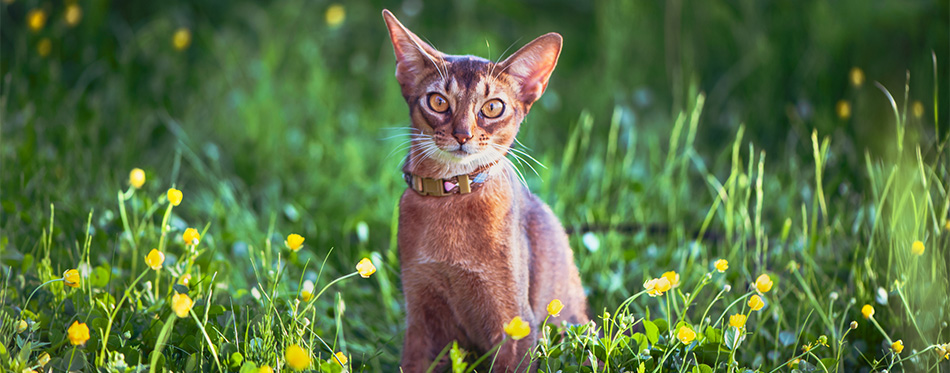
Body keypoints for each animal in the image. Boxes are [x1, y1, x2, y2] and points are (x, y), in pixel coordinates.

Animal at [384, 10, 592, 370]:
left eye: (493, 107)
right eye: (438, 102)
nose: (462, 135)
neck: (452, 195)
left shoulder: (514, 325)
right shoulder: (420, 320)